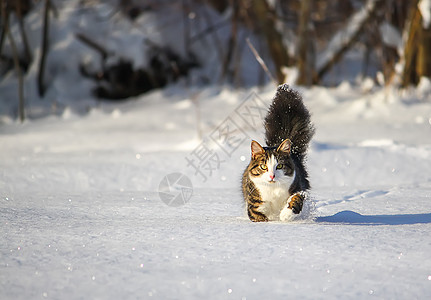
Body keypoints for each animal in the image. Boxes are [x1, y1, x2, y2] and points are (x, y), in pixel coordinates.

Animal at [241, 83, 316, 221]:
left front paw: (286, 215)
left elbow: (296, 199)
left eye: (280, 166)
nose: (272, 176)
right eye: (263, 166)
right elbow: (258, 215)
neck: (273, 189)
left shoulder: (298, 187)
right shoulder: (254, 202)